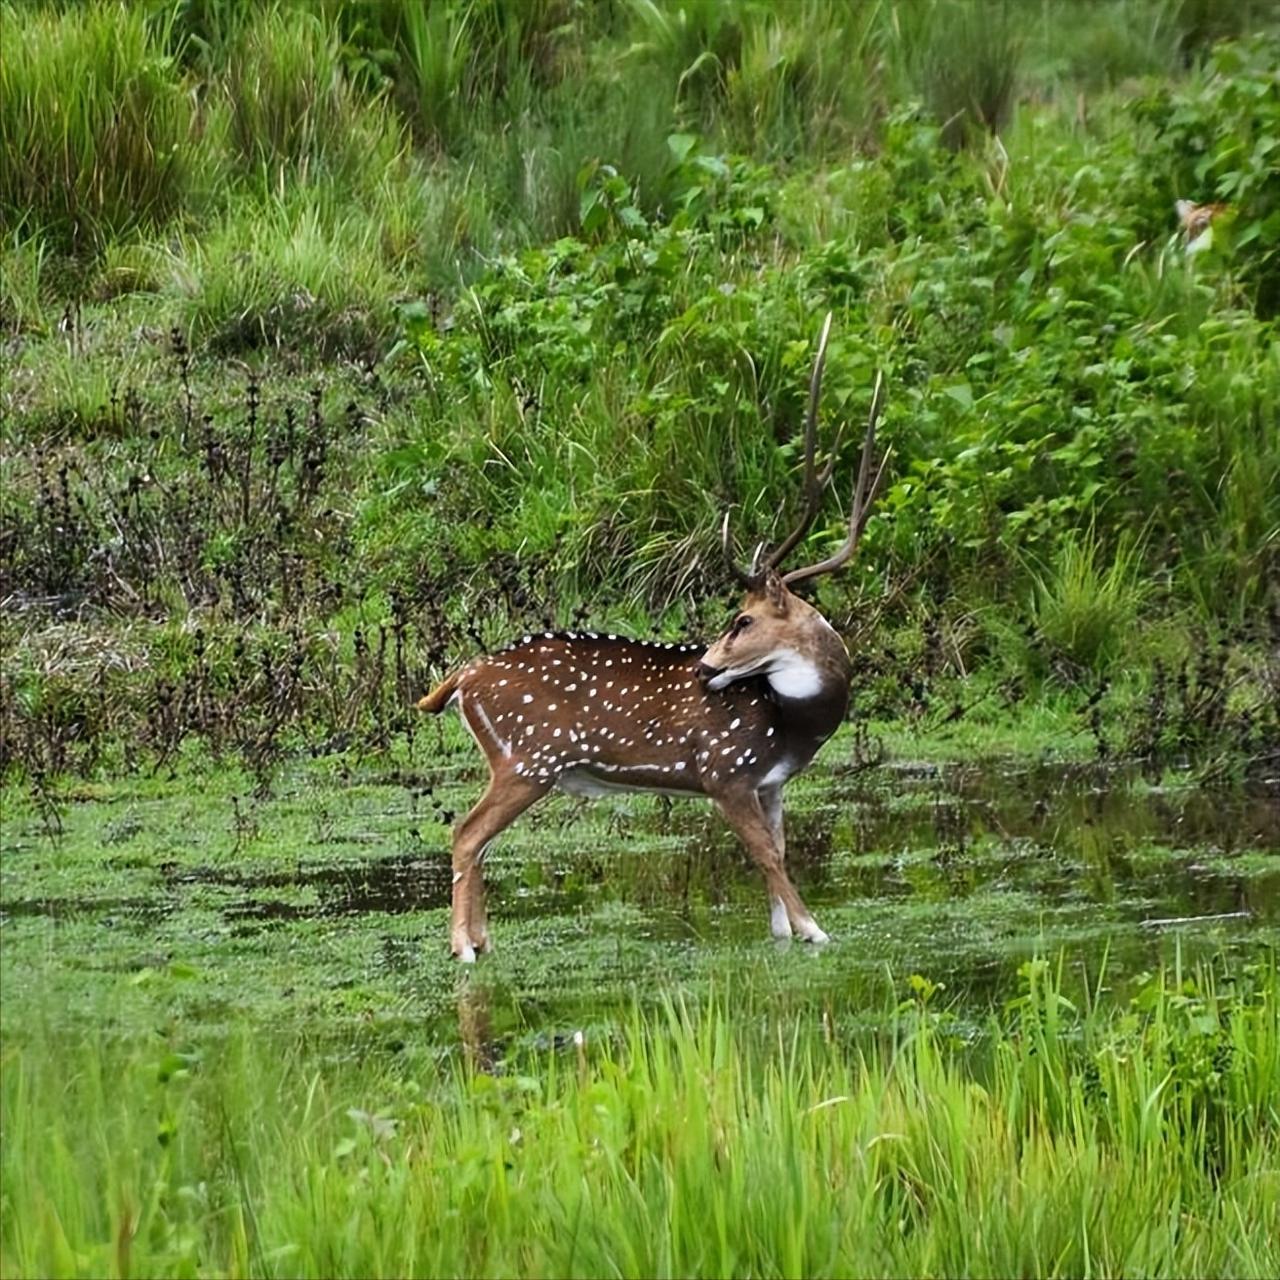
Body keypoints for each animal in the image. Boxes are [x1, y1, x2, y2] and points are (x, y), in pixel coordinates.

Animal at [422, 317, 890, 962]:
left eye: (742, 621)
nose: (704, 669)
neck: (792, 722)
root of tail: (461, 679)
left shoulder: (770, 783)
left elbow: (778, 851)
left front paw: (783, 931)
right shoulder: (724, 769)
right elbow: (765, 855)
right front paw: (814, 929)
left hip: (521, 763)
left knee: (479, 839)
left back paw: (482, 941)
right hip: (530, 757)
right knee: (466, 833)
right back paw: (463, 948)